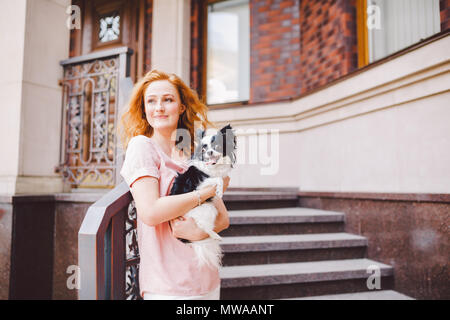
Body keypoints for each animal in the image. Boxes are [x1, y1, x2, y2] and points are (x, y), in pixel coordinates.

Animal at [169, 124, 237, 268]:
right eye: (204, 148)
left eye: (216, 146)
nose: (209, 152)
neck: (214, 167)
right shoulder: (200, 185)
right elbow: (217, 179)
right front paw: (219, 190)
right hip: (208, 208)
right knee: (203, 226)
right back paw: (215, 235)